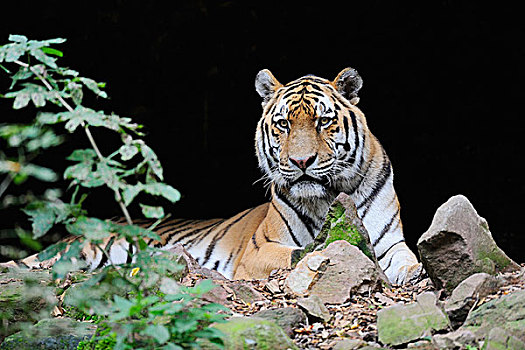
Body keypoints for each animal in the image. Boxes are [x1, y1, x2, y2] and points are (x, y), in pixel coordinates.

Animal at [4, 67, 422, 284]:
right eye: (284, 124)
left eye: (323, 122)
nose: (302, 161)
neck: (327, 197)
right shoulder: (260, 250)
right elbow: (303, 253)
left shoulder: (390, 241)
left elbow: (404, 258)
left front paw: (413, 273)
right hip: (83, 250)